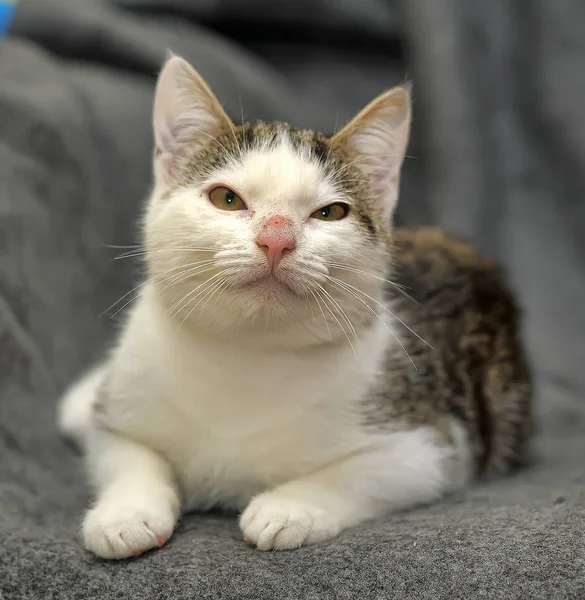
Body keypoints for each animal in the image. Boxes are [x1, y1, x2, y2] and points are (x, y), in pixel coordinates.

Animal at [58, 55, 528, 556]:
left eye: (330, 213)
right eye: (227, 199)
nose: (277, 239)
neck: (247, 356)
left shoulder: (433, 444)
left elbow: (358, 473)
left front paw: (289, 508)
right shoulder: (118, 418)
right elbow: (124, 452)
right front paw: (126, 513)